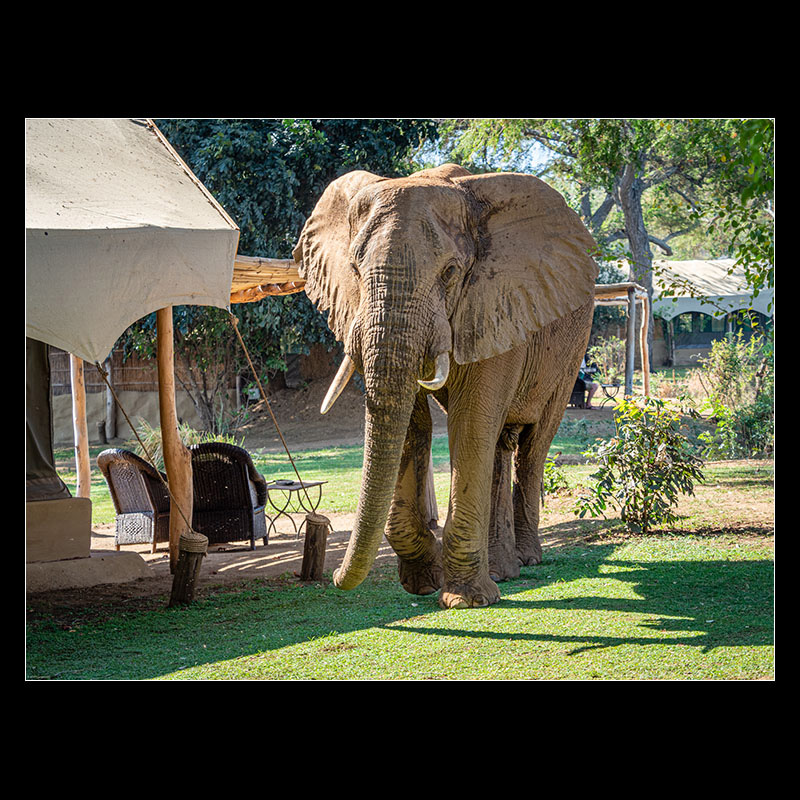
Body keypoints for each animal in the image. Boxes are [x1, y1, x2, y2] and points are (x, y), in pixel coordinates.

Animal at [294, 166, 600, 608]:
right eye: (354, 267)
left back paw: (527, 559)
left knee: (533, 443)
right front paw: (424, 582)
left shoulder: (495, 299)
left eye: (451, 272)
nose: (334, 576)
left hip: (572, 349)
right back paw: (503, 570)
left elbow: (470, 424)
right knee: (501, 444)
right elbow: (411, 426)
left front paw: (466, 600)